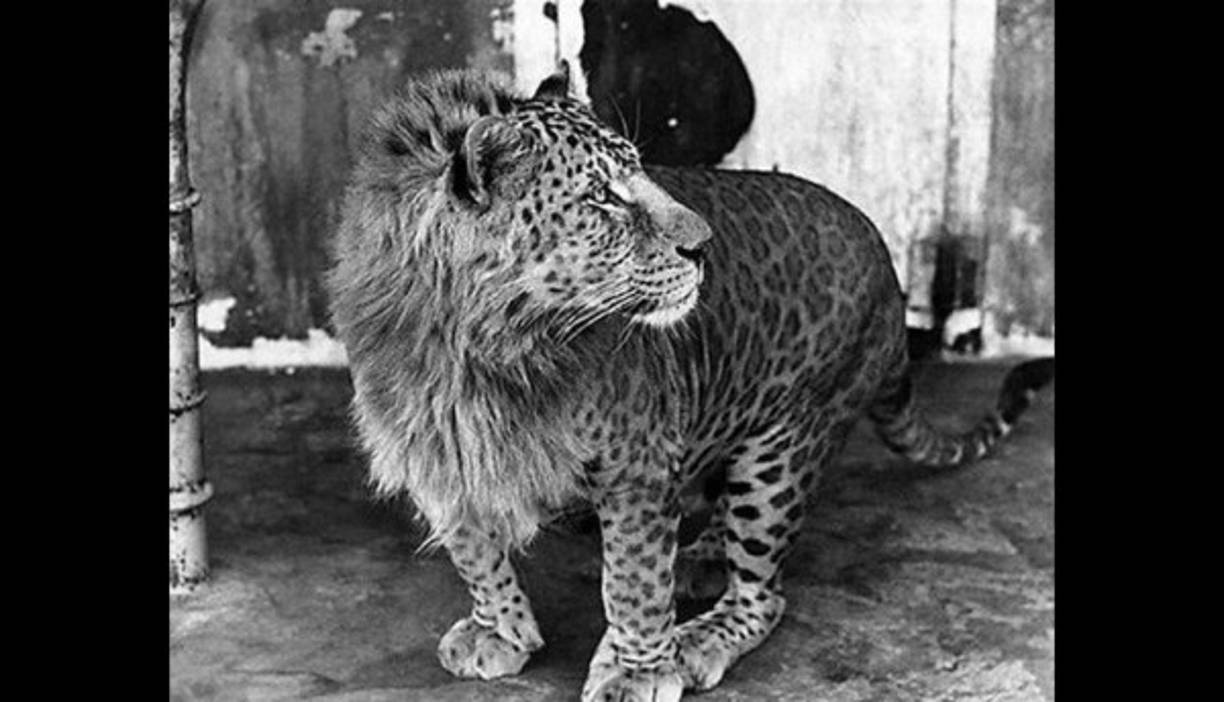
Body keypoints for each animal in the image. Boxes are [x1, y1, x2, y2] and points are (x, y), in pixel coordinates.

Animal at [326, 65, 1054, 702]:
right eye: (601, 197)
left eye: (639, 173)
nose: (703, 246)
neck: (483, 350)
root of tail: (889, 269)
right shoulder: (437, 449)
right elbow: (474, 551)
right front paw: (500, 631)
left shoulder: (638, 463)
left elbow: (634, 579)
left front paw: (639, 671)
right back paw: (702, 556)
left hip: (785, 447)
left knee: (764, 593)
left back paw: (700, 633)